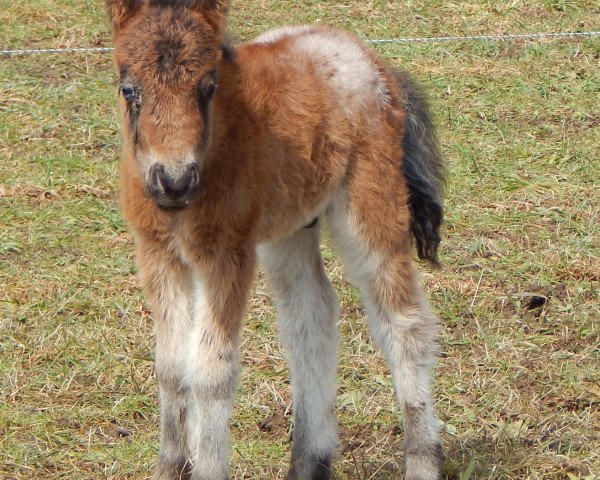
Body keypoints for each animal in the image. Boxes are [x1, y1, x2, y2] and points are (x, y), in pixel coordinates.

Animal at [106, 1, 446, 478]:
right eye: (128, 88)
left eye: (208, 87)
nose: (173, 182)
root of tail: (373, 60)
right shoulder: (156, 253)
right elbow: (171, 368)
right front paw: (170, 468)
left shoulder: (226, 254)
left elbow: (211, 371)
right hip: (290, 230)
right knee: (311, 317)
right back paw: (309, 461)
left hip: (371, 204)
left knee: (404, 322)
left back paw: (420, 460)